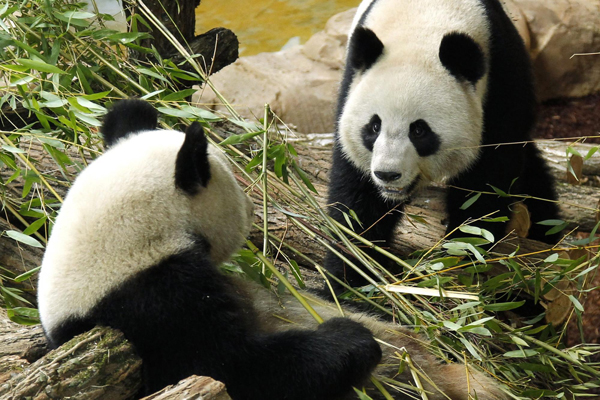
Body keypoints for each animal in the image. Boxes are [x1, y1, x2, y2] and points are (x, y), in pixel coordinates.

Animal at [326, 0, 560, 288]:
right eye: (374, 126)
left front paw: (460, 252)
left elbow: (488, 179)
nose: (387, 174)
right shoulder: (352, 83)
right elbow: (357, 198)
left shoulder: (501, 77)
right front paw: (351, 276)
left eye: (419, 130)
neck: (425, 20)